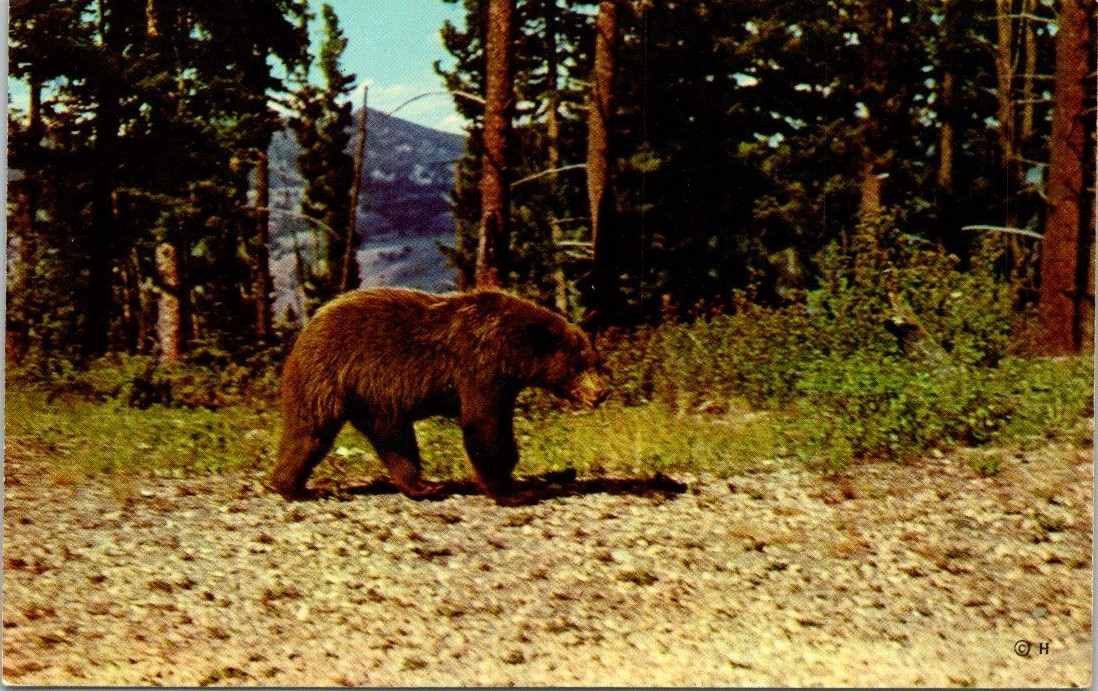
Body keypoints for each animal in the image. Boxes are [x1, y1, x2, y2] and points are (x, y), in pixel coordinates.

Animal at [270, 287, 608, 505]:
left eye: (596, 361)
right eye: (579, 366)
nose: (601, 393)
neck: (514, 351)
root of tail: (309, 325)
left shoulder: (503, 381)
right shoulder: (481, 368)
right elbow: (483, 424)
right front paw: (512, 490)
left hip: (374, 398)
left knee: (395, 441)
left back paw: (424, 485)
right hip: (328, 377)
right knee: (310, 433)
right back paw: (297, 488)